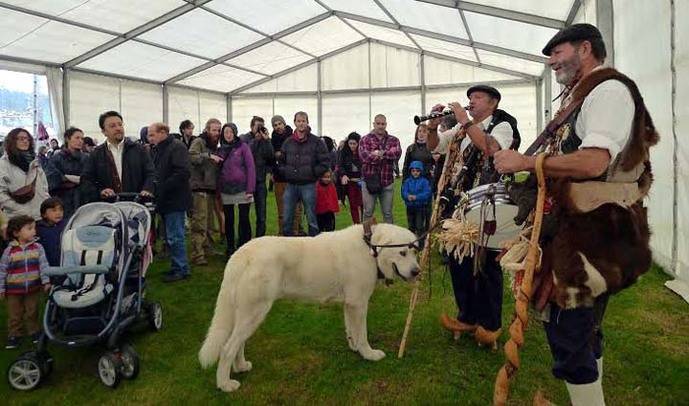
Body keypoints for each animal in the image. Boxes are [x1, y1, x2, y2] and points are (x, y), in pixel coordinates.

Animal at [195, 224, 420, 392]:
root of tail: (241, 254)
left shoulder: (350, 304)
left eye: (415, 252)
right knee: (227, 348)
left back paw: (241, 366)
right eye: (402, 252)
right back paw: (225, 384)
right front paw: (369, 354)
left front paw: (355, 348)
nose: (417, 271)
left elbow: (352, 331)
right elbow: (362, 334)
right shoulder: (359, 303)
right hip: (255, 311)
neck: (370, 249)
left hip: (247, 314)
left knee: (238, 343)